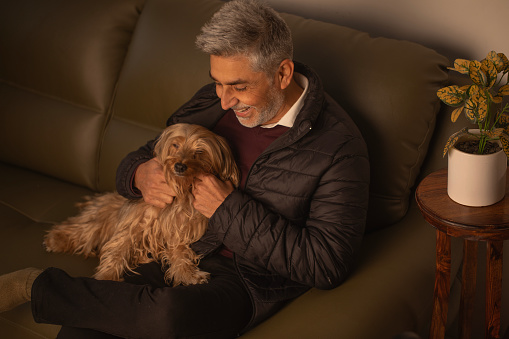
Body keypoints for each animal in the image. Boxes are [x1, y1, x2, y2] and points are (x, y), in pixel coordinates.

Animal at [44, 125, 240, 286]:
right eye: (175, 145)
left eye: (199, 151)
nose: (179, 166)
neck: (180, 194)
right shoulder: (133, 225)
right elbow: (118, 249)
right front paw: (108, 276)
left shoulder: (179, 233)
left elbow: (181, 254)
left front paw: (188, 275)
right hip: (100, 219)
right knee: (81, 228)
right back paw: (57, 239)